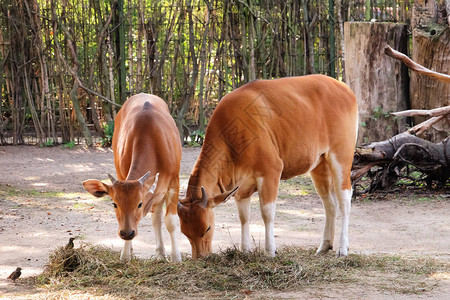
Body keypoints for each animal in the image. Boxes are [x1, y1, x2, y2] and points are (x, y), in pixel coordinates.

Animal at [83, 92, 182, 262]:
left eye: (139, 204)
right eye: (114, 204)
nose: (127, 233)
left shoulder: (174, 181)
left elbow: (171, 221)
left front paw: (176, 257)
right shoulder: (122, 174)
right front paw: (125, 255)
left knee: (157, 217)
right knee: (156, 217)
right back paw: (159, 252)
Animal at [178, 74, 356, 258]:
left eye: (207, 228)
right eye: (185, 233)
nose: (200, 257)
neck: (231, 137)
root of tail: (344, 88)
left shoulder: (271, 171)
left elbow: (267, 213)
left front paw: (270, 250)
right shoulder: (240, 186)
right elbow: (243, 217)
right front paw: (245, 250)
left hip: (341, 156)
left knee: (344, 198)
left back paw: (343, 249)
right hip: (319, 164)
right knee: (329, 203)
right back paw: (324, 246)